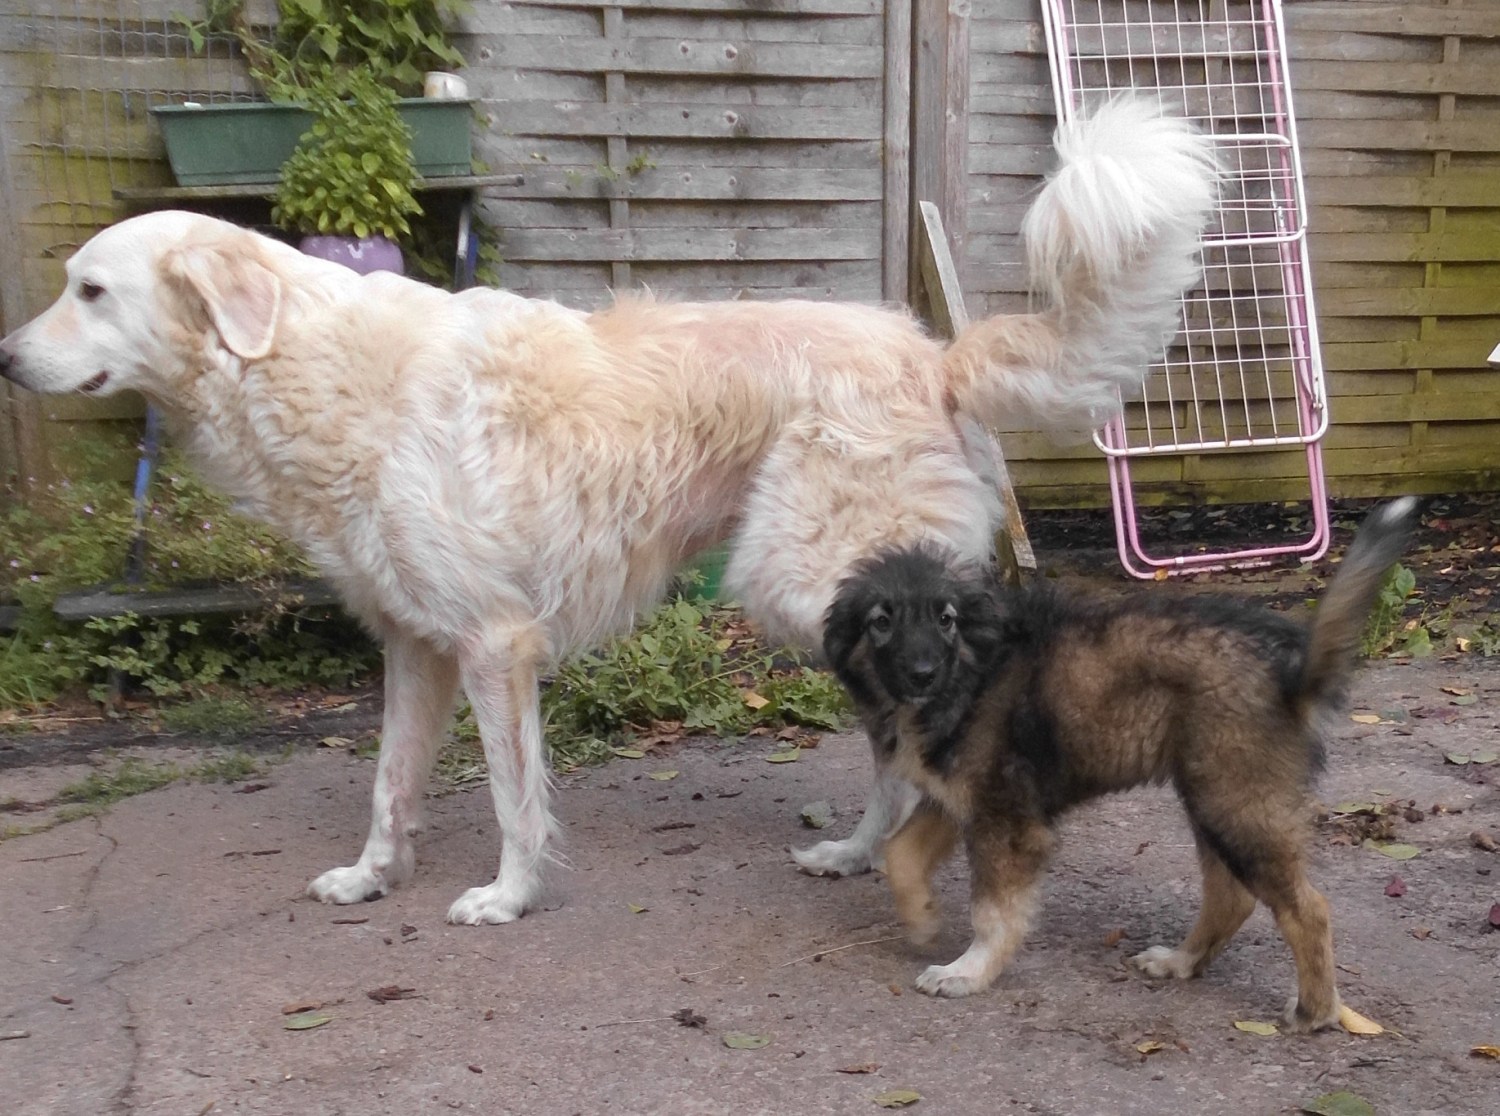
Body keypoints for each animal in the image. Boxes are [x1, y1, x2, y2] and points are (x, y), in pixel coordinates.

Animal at [0, 97, 1216, 926]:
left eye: (91, 290)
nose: (6, 359)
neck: (312, 363)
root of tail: (934, 354)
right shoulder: (414, 646)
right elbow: (390, 785)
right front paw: (372, 877)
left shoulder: (495, 645)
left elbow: (509, 794)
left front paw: (506, 897)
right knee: (891, 743)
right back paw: (857, 855)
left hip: (816, 584)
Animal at [822, 498, 1418, 1031]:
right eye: (881, 622)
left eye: (945, 620)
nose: (922, 673)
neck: (974, 670)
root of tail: (1290, 673)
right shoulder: (958, 798)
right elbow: (899, 853)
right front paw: (922, 919)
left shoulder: (1006, 820)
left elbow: (992, 912)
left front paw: (967, 971)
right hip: (1214, 798)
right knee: (1231, 897)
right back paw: (1181, 962)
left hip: (1235, 803)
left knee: (1307, 907)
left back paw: (1315, 1011)